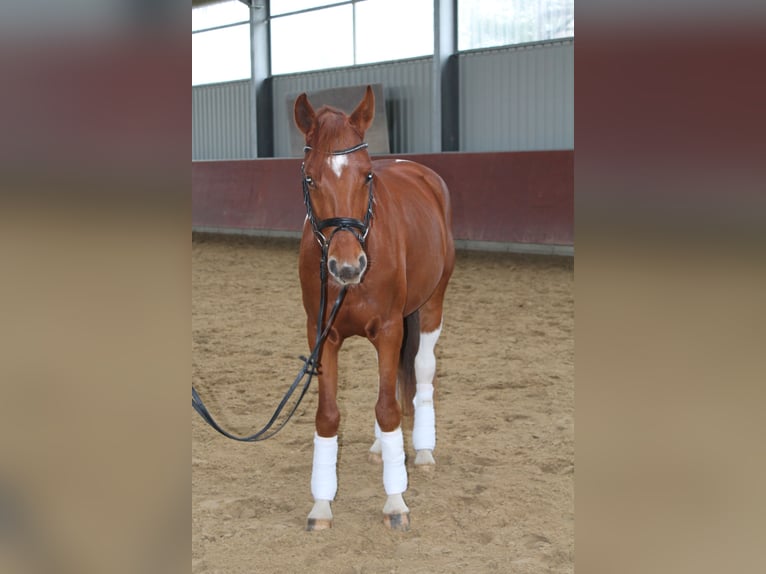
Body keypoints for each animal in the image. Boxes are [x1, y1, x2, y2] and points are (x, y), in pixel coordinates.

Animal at [294, 85, 455, 531]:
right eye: (310, 177)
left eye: (367, 175)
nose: (347, 266)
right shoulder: (322, 334)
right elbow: (328, 415)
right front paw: (321, 505)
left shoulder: (388, 328)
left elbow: (388, 408)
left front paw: (395, 501)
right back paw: (384, 449)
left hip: (431, 305)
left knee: (421, 371)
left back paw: (421, 450)